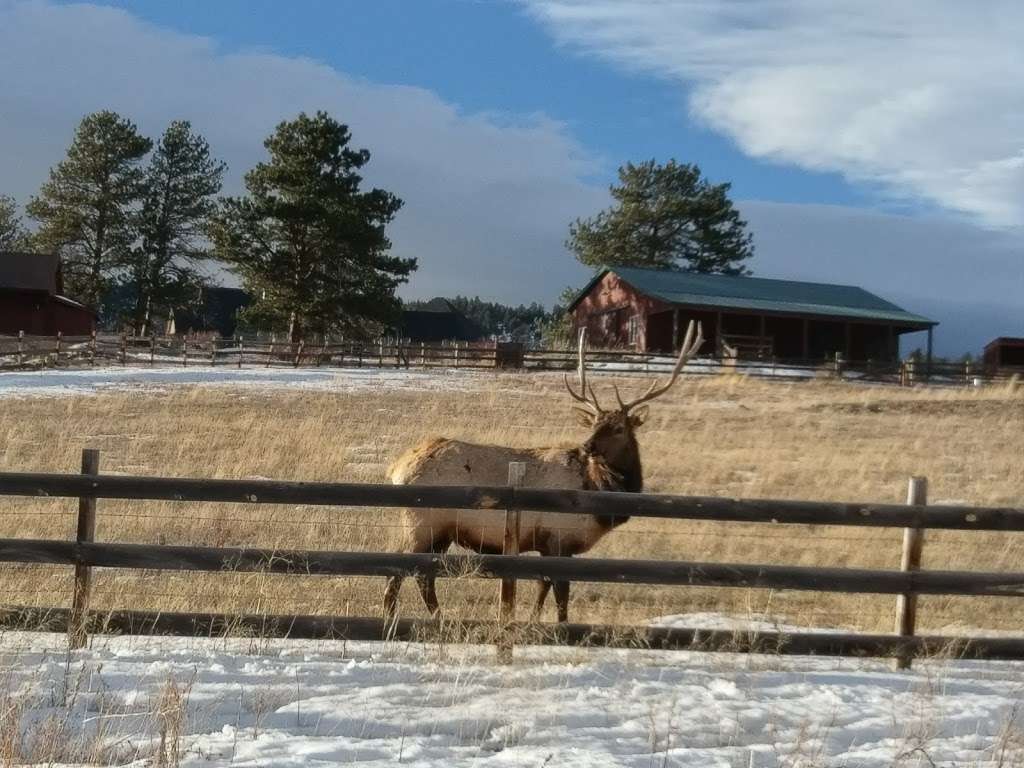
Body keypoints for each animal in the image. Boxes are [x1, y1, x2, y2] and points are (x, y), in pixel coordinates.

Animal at [385, 321, 704, 622]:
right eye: (594, 423)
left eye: (618, 428)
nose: (587, 446)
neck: (596, 491)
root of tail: (397, 469)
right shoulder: (558, 540)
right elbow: (560, 591)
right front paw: (560, 626)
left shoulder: (549, 545)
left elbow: (543, 586)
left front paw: (532, 619)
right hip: (422, 524)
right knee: (401, 569)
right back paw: (398, 616)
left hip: (439, 532)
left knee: (423, 574)